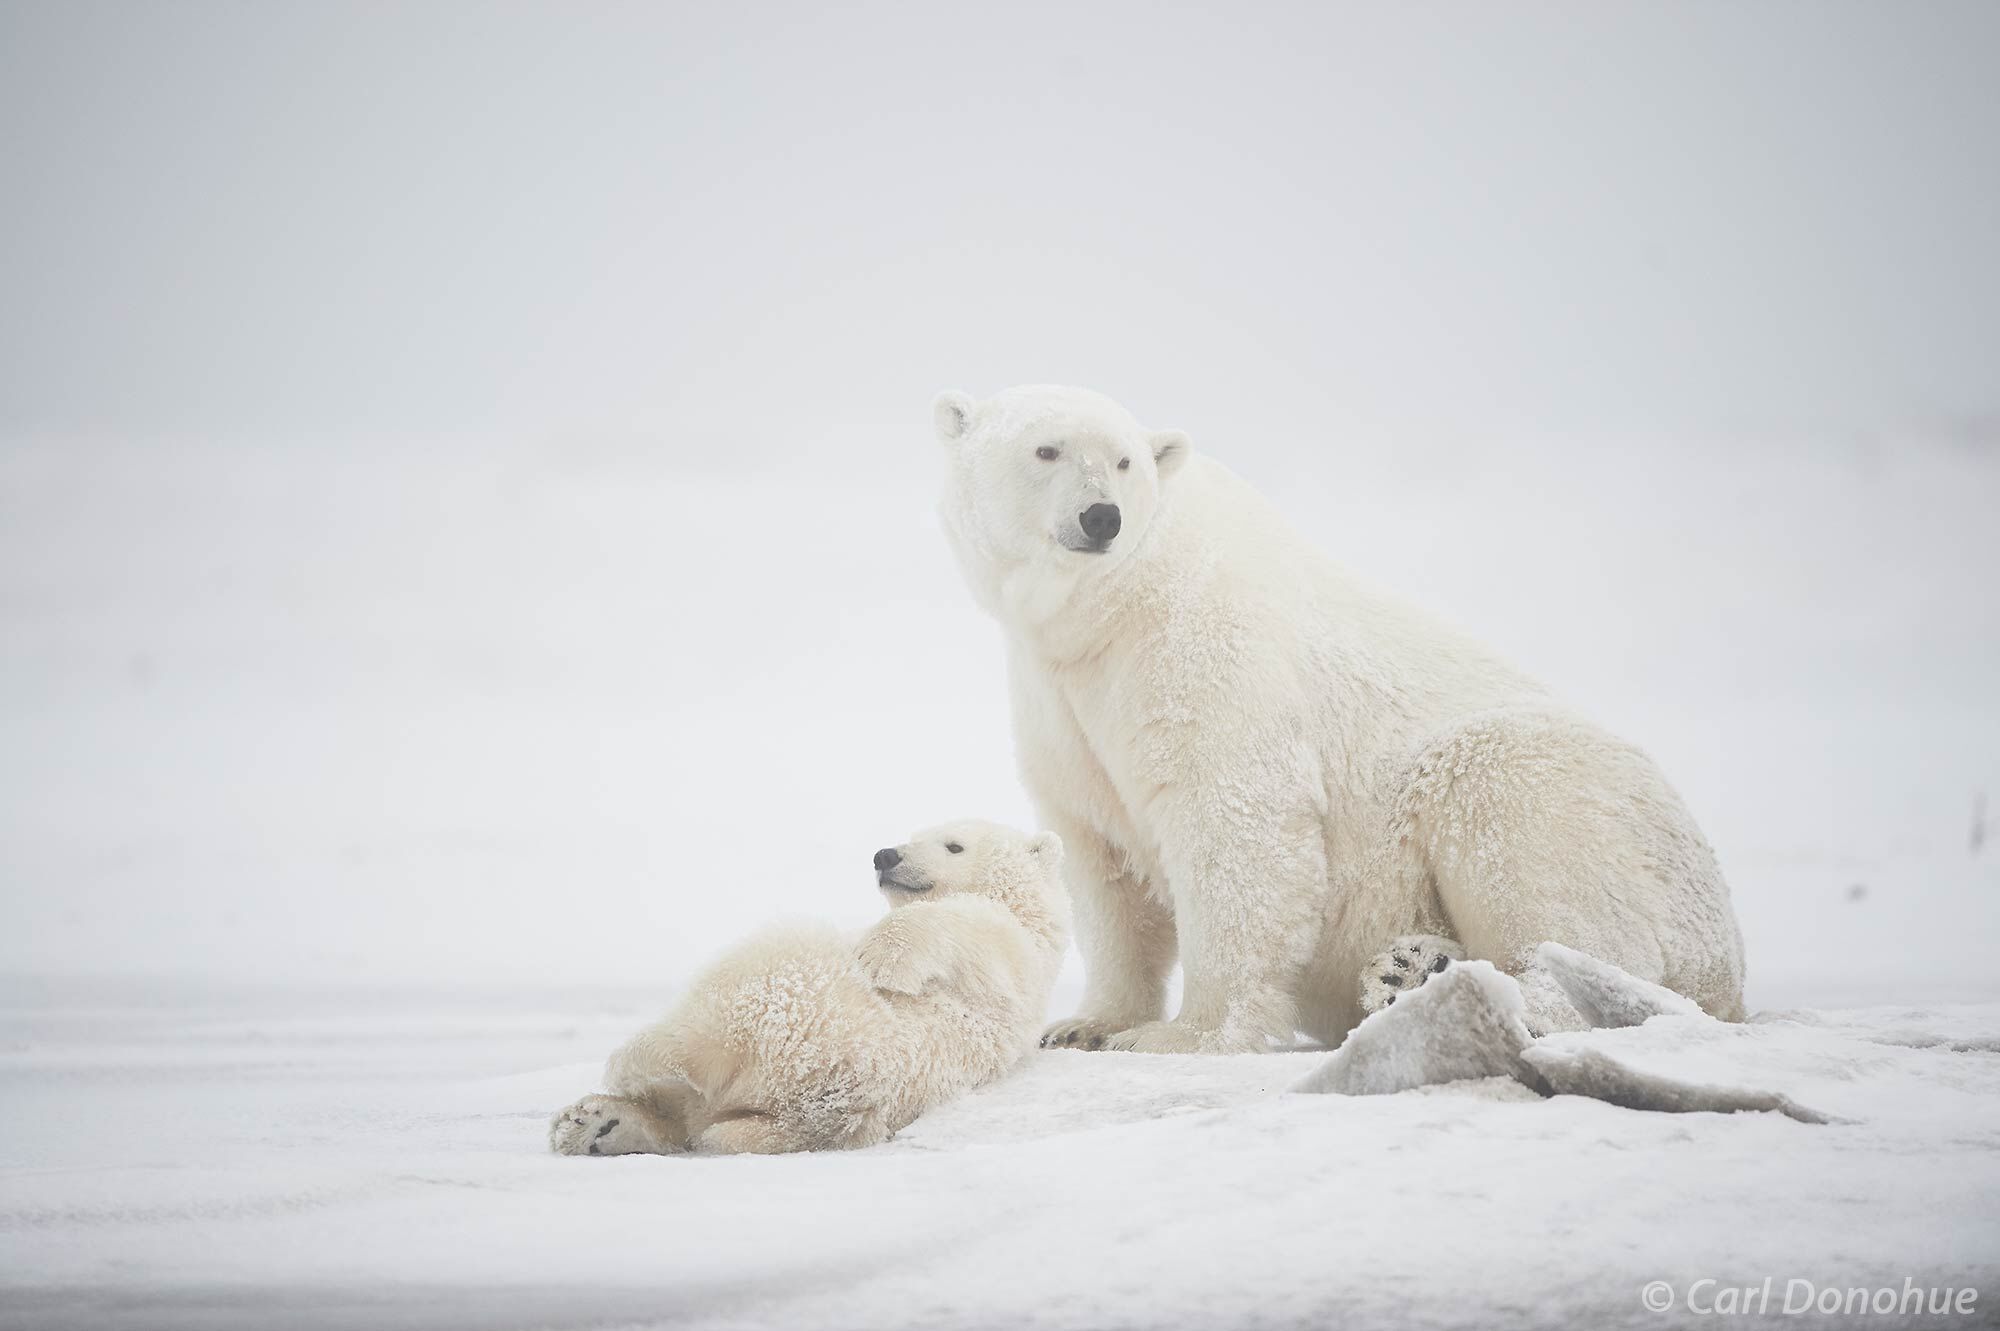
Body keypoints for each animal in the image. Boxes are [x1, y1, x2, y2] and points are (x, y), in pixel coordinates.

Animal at [928, 381, 1744, 1047]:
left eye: (1126, 462)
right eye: (1047, 448)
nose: (1102, 517)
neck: (1114, 609)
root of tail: (1728, 951)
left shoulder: (1207, 658)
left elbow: (1234, 824)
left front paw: (1183, 1033)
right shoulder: (1063, 705)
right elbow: (1101, 858)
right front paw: (1087, 1024)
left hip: (1591, 809)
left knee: (1537, 850)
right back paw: (1407, 970)